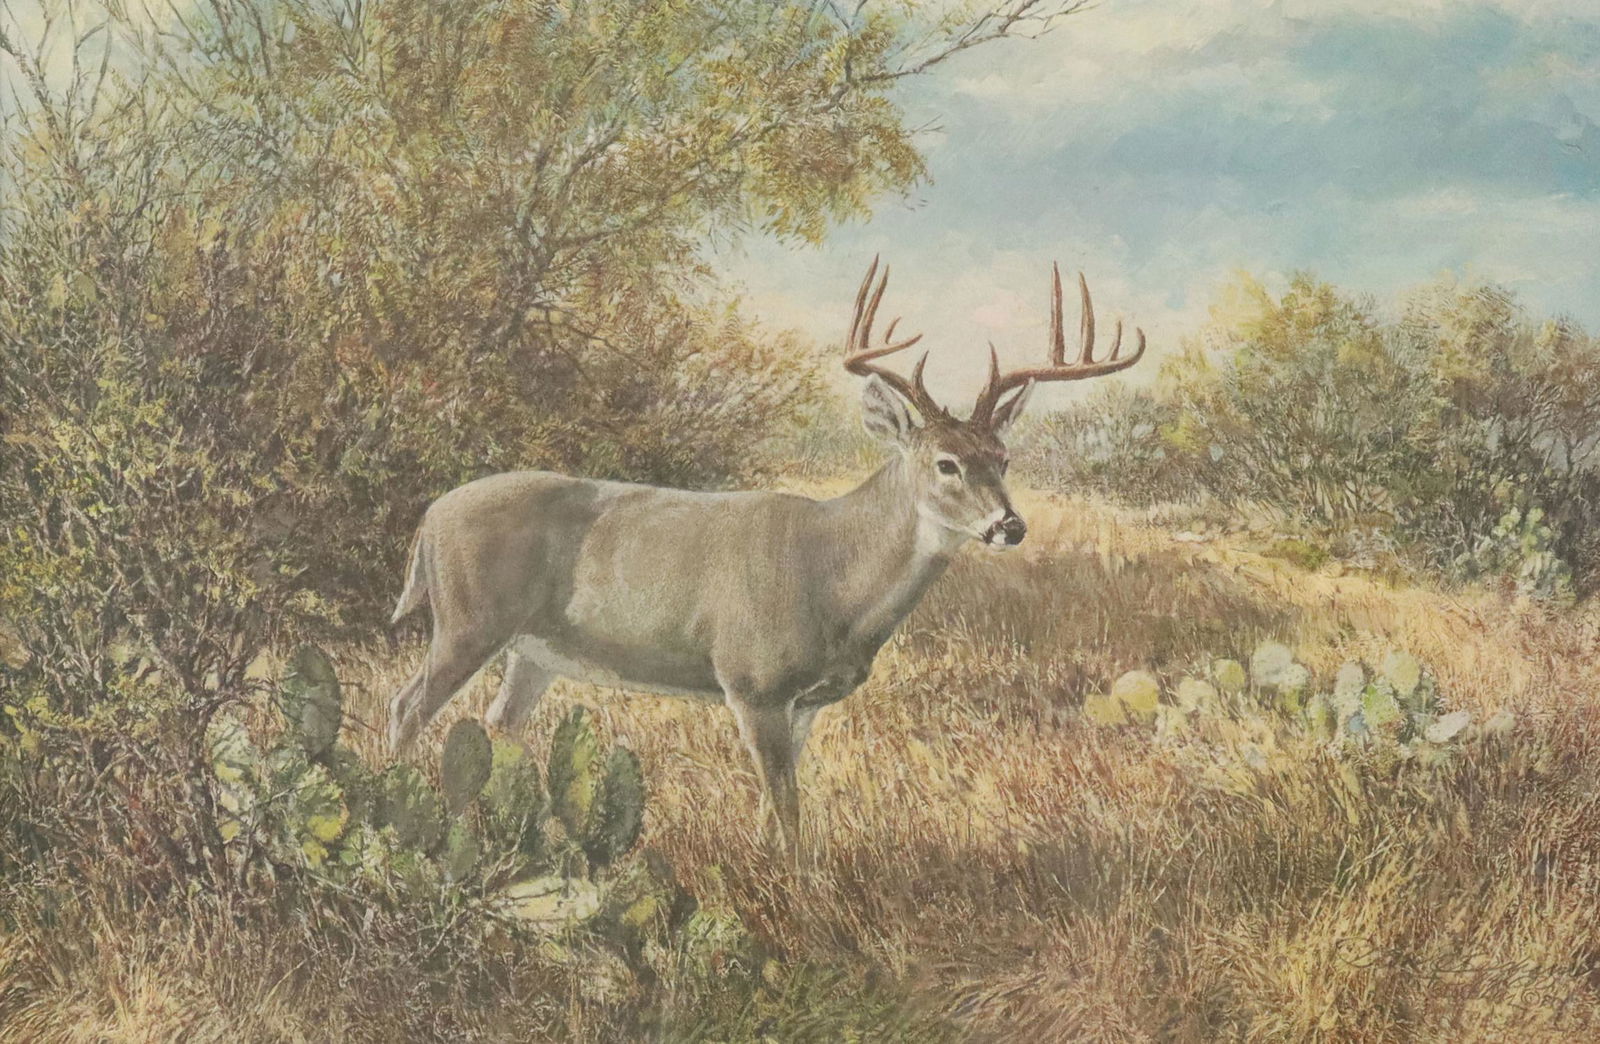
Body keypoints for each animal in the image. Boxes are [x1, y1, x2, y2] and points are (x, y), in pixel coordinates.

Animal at [386, 257, 1145, 854]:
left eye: (1003, 457)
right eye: (946, 462)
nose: (1010, 526)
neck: (835, 580)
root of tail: (429, 518)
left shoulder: (804, 701)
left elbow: (774, 802)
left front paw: (765, 867)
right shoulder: (750, 681)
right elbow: (786, 805)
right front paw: (802, 888)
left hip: (534, 651)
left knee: (498, 724)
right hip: (466, 622)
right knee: (406, 706)